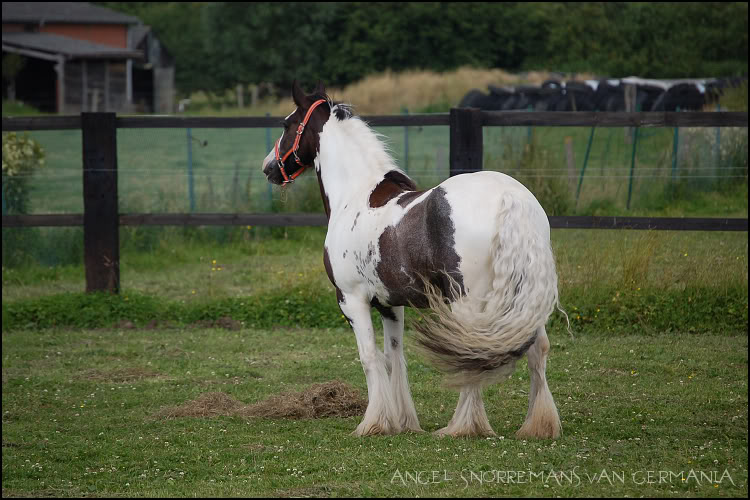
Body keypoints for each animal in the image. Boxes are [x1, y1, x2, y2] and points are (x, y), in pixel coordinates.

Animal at [264, 81, 564, 438]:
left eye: (287, 124)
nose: (269, 168)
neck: (355, 197)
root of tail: (510, 197)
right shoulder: (391, 305)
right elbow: (394, 357)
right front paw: (402, 421)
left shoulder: (351, 300)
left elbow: (370, 358)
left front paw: (373, 423)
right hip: (525, 298)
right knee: (537, 350)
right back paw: (537, 425)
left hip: (469, 303)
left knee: (474, 352)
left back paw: (462, 427)